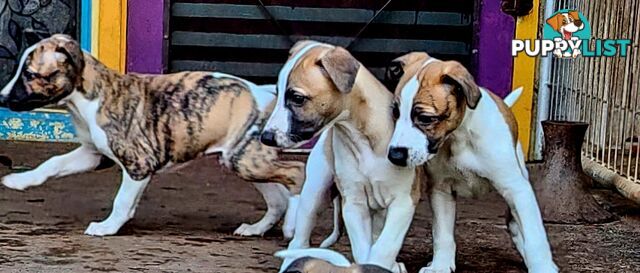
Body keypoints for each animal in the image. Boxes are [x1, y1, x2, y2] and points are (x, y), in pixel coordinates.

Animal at [0, 34, 314, 238]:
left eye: (30, 74)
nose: (2, 98)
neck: (92, 96)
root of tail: (269, 94)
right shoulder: (93, 154)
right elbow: (51, 164)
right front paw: (20, 181)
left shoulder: (138, 164)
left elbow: (122, 201)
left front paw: (107, 227)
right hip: (241, 160)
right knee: (278, 197)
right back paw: (256, 229)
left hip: (247, 160)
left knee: (297, 173)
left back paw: (292, 225)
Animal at [260, 40, 420, 272]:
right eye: (278, 92)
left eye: (297, 98)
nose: (266, 137)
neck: (360, 136)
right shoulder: (353, 203)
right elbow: (363, 250)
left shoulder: (403, 202)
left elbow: (384, 247)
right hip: (315, 191)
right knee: (299, 240)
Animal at [384, 51, 560, 272]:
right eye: (395, 113)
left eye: (425, 118)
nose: (395, 156)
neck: (457, 137)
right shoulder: (441, 190)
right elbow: (442, 234)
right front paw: (440, 265)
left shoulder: (517, 189)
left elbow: (535, 236)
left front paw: (542, 266)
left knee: (518, 225)